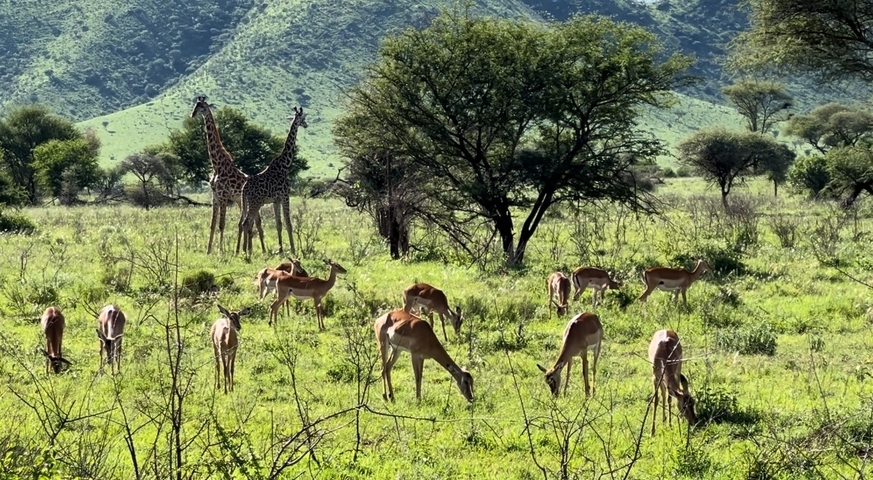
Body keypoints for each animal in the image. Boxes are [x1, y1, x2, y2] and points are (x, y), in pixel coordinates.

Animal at [191, 95, 266, 255]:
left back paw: (259, 250)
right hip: (241, 202)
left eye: (202, 107)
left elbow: (221, 225)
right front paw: (208, 251)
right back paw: (247, 249)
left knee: (256, 222)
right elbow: (212, 225)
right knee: (248, 222)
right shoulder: (215, 197)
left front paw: (220, 251)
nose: (192, 114)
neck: (216, 164)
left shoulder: (223, 197)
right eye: (195, 105)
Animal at [237, 106, 308, 257]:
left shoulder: (276, 200)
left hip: (247, 202)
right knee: (246, 223)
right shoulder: (285, 196)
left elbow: (278, 224)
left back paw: (244, 250)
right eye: (302, 118)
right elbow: (288, 223)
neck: (285, 165)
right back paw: (247, 252)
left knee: (245, 223)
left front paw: (280, 249)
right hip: (255, 202)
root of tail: (244, 188)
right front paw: (293, 250)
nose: (306, 125)